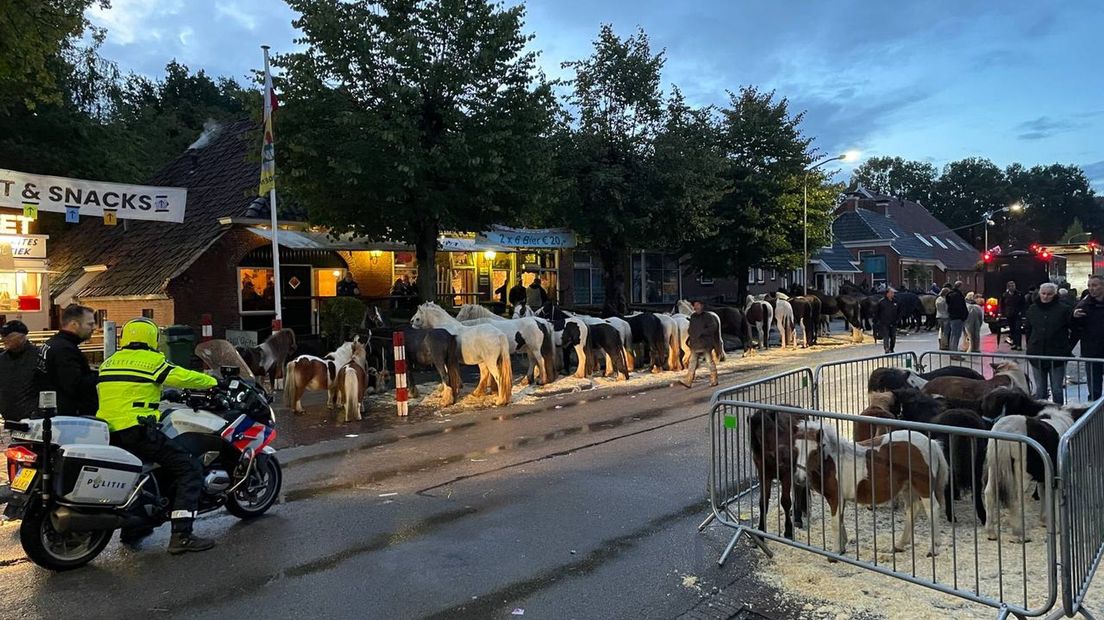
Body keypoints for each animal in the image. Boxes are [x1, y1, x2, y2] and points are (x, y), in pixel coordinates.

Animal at [794, 419, 949, 556]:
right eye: (796, 449)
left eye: (815, 452)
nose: (800, 479)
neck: (834, 462)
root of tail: (932, 443)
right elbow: (841, 521)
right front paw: (842, 547)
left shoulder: (836, 498)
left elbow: (835, 523)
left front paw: (835, 553)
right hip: (907, 488)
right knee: (912, 510)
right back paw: (899, 545)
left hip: (924, 488)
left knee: (932, 509)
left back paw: (933, 549)